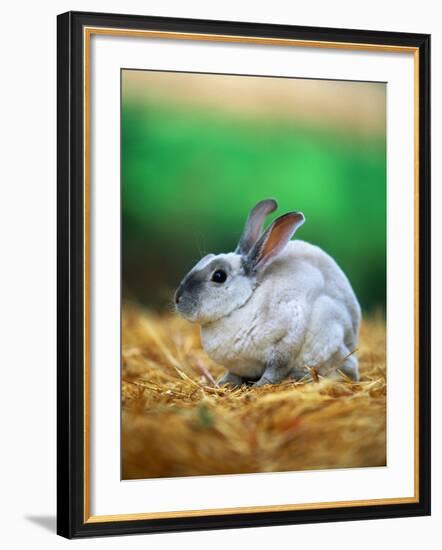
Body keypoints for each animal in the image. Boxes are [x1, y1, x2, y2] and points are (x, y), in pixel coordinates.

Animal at [174, 199, 360, 388]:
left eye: (219, 276)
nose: (178, 299)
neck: (245, 302)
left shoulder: (286, 340)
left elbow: (275, 369)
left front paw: (260, 385)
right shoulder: (238, 366)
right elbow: (234, 374)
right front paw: (223, 383)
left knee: (346, 370)